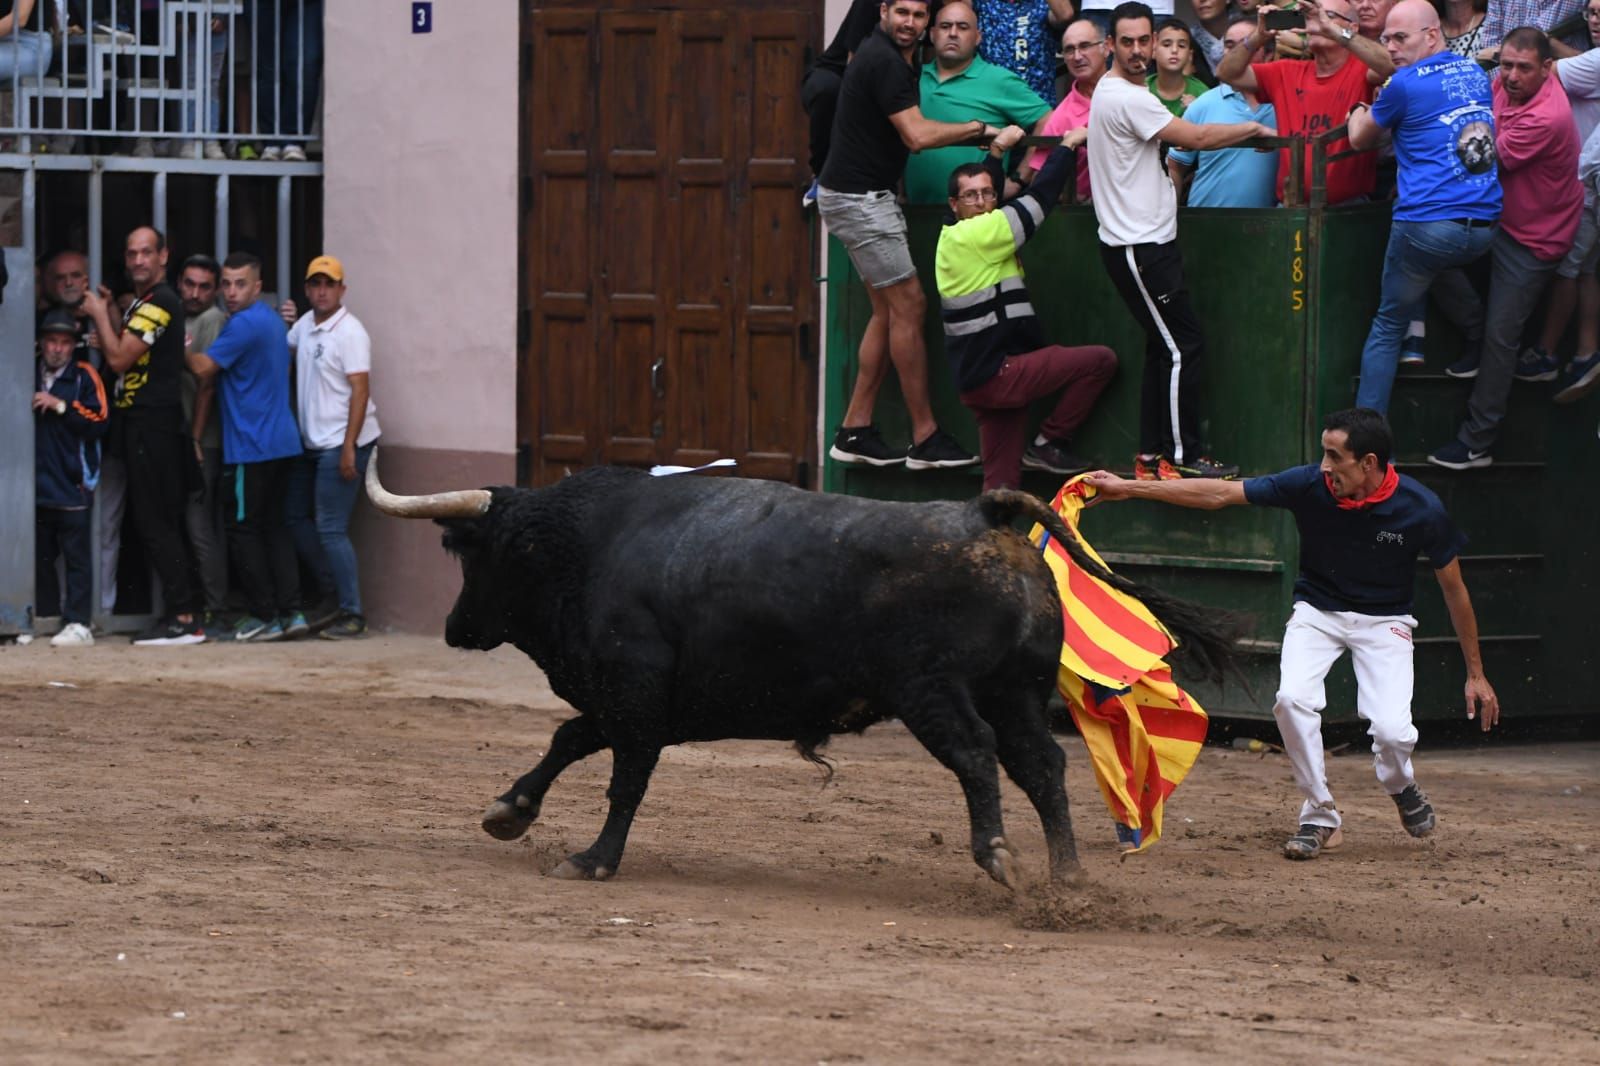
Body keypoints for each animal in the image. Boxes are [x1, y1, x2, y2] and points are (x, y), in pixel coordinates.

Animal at [366, 460, 1235, 883]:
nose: (455, 628)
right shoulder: (637, 702)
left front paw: (592, 860)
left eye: (485, 553)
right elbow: (570, 739)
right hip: (1015, 692)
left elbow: (623, 778)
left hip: (929, 691)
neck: (587, 545)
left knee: (977, 757)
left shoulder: (636, 697)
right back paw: (1068, 874)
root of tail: (981, 514)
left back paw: (998, 856)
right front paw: (508, 810)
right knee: (1041, 764)